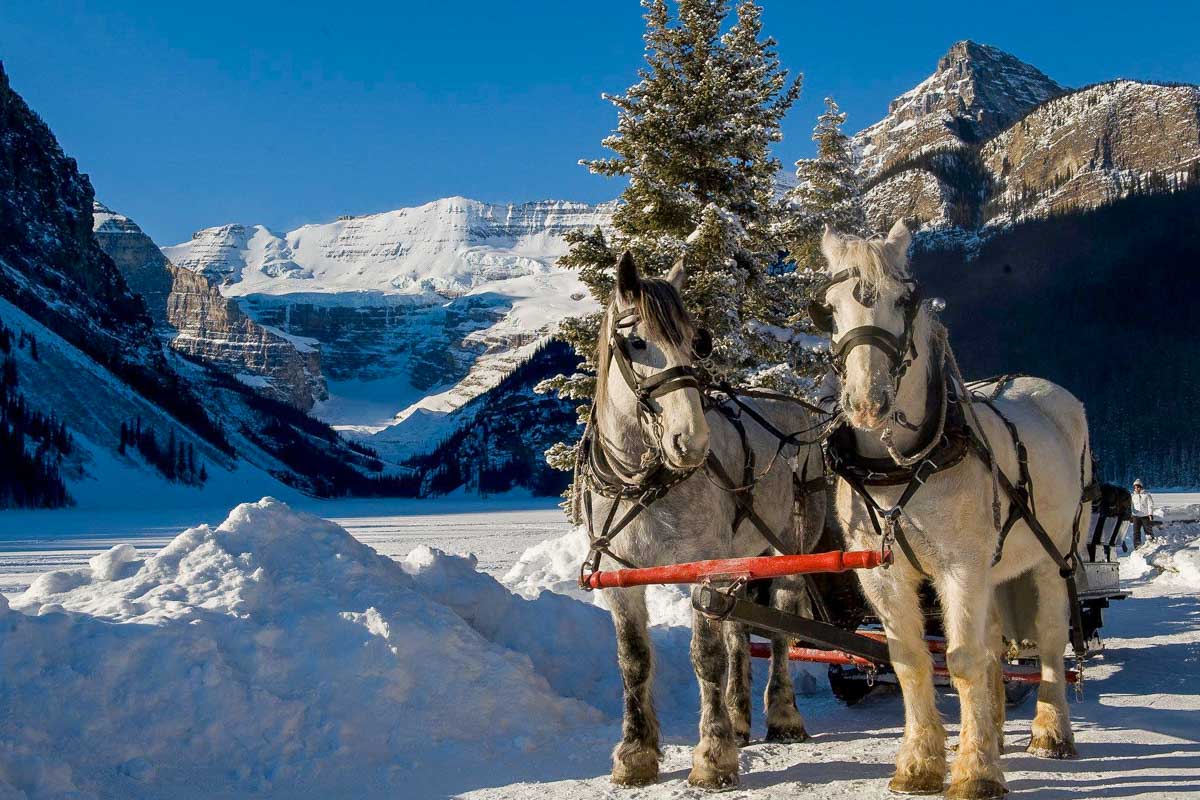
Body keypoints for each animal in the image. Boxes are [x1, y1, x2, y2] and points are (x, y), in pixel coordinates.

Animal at [581, 251, 827, 789]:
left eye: (696, 341)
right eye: (637, 341)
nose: (691, 442)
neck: (641, 481)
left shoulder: (704, 569)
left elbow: (706, 657)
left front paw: (713, 756)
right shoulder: (621, 579)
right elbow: (634, 661)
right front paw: (635, 753)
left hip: (789, 545)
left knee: (780, 628)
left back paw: (782, 716)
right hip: (740, 556)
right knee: (740, 631)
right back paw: (739, 718)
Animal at [813, 221, 1093, 799]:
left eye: (904, 301)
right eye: (827, 309)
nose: (867, 402)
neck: (900, 467)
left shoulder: (960, 566)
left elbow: (961, 660)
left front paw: (974, 773)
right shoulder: (883, 575)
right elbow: (911, 660)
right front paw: (923, 763)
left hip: (1053, 557)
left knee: (1049, 641)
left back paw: (1050, 732)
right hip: (995, 567)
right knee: (993, 646)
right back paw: (991, 733)